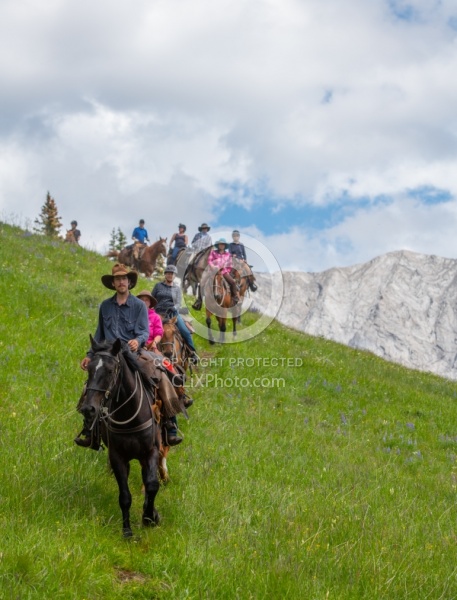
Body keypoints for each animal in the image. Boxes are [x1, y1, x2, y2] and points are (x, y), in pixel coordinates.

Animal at [76, 338, 159, 540]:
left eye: (110, 370)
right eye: (89, 368)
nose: (88, 409)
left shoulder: (151, 451)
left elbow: (152, 484)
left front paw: (149, 517)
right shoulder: (117, 457)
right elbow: (125, 496)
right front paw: (127, 531)